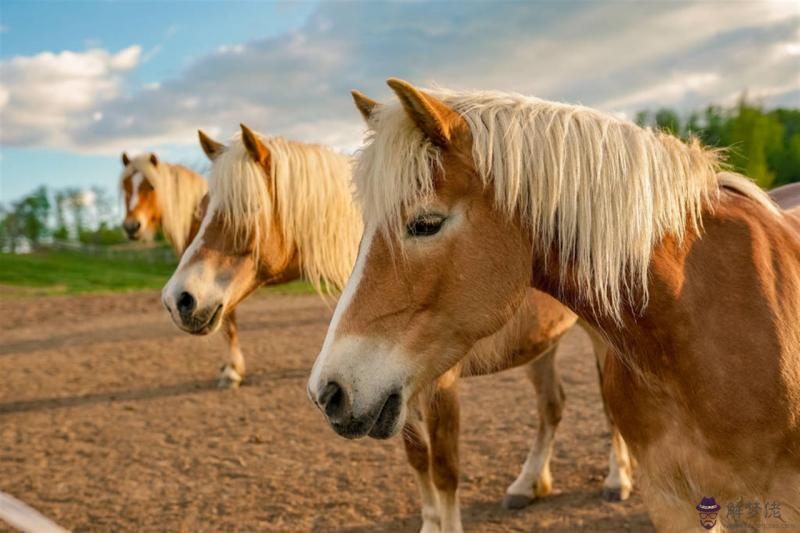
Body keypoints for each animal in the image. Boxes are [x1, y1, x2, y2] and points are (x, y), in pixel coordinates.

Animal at [162, 122, 636, 528]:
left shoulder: (437, 384)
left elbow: (444, 468)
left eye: (243, 214)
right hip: (542, 345)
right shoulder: (386, 390)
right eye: (201, 212)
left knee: (608, 407)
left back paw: (618, 479)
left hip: (602, 339)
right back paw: (529, 484)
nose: (178, 299)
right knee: (551, 407)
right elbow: (417, 460)